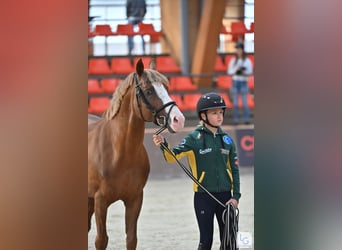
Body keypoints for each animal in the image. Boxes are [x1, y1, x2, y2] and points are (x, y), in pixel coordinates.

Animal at [87, 59, 184, 250]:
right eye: (149, 91)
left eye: (166, 87)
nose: (178, 120)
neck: (120, 152)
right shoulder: (100, 201)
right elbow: (101, 240)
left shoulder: (135, 199)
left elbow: (131, 239)